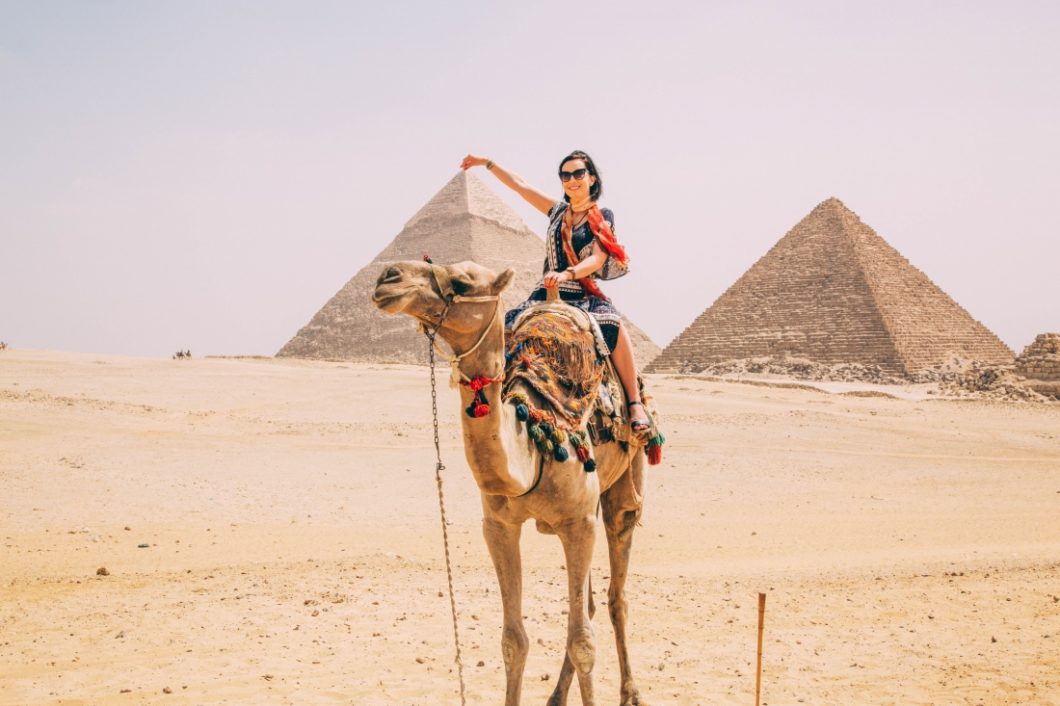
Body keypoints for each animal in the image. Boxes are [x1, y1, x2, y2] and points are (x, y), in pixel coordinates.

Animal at [377, 259, 648, 703]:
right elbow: (513, 640)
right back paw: (556, 696)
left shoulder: (578, 524)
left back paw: (631, 692)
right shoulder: (498, 526)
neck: (534, 445)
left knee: (616, 596)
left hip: (623, 486)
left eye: (462, 282)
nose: (388, 278)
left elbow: (583, 641)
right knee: (591, 604)